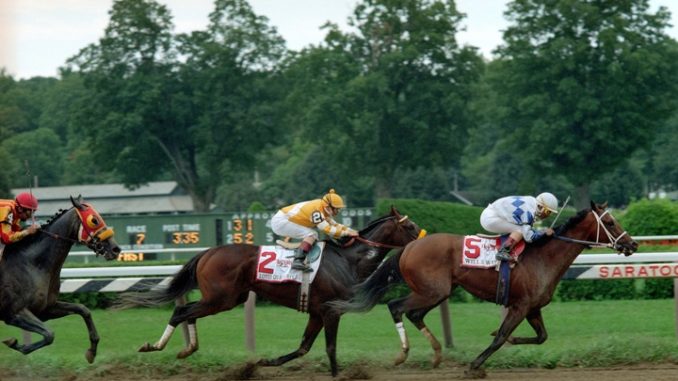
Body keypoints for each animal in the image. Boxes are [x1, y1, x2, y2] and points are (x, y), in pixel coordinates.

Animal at [0, 197, 121, 360]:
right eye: (94, 220)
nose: (116, 249)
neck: (33, 264)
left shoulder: (45, 309)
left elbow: (83, 310)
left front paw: (92, 351)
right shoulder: (14, 312)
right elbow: (49, 335)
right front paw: (15, 343)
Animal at [117, 205, 424, 374]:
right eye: (409, 225)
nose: (425, 239)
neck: (347, 260)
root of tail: (207, 252)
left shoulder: (316, 312)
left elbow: (303, 348)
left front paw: (263, 362)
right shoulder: (331, 311)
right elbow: (330, 348)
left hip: (227, 298)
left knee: (189, 312)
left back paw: (186, 349)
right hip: (220, 298)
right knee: (182, 311)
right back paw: (157, 346)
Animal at [338, 202, 640, 378]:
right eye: (610, 223)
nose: (632, 244)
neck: (544, 256)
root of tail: (409, 246)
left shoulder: (532, 307)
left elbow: (540, 337)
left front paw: (506, 339)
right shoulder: (519, 306)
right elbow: (501, 337)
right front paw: (475, 366)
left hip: (438, 292)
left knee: (413, 314)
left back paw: (435, 354)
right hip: (432, 291)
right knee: (396, 307)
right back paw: (404, 354)